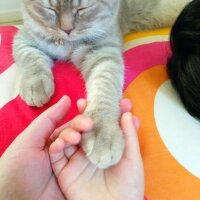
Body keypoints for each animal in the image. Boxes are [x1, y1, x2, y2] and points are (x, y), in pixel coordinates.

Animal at [12, 0, 191, 169]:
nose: (67, 30)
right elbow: (31, 59)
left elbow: (104, 90)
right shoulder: (24, 39)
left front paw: (103, 134)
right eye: (51, 9)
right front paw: (36, 85)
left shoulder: (103, 53)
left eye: (83, 9)